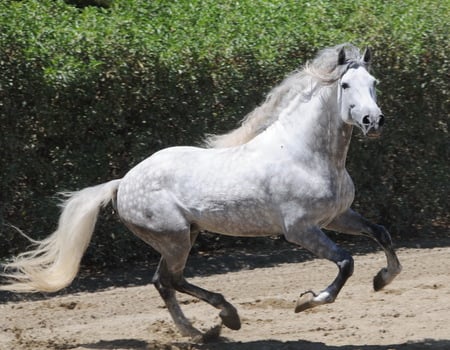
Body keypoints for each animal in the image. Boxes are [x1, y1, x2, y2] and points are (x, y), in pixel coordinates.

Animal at [0, 43, 400, 340]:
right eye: (345, 86)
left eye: (374, 82)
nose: (374, 121)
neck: (306, 154)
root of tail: (122, 182)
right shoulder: (300, 230)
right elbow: (346, 262)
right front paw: (309, 301)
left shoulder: (337, 217)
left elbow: (381, 233)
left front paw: (383, 279)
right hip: (175, 237)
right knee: (171, 280)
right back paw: (220, 320)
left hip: (184, 235)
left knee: (163, 281)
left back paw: (203, 329)